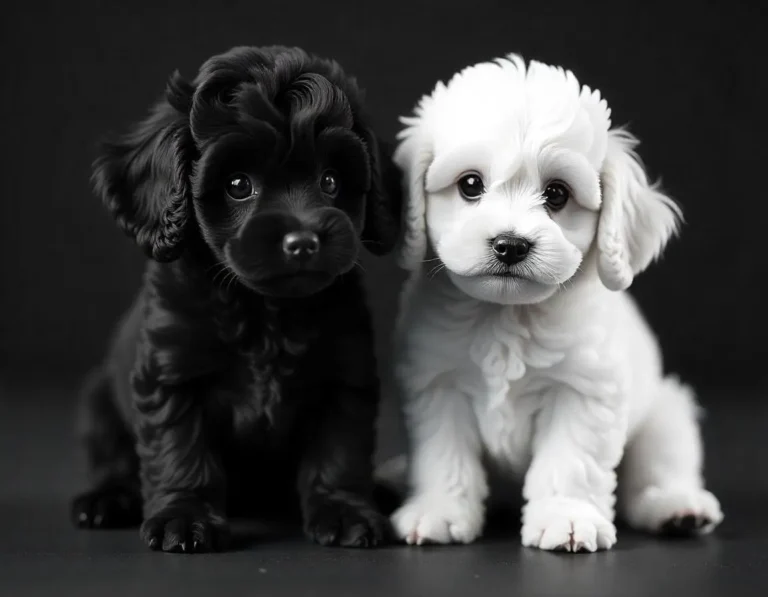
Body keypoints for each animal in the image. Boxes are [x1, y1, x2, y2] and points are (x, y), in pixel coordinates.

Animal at [72, 44, 402, 552]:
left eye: (330, 181)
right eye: (238, 184)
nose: (303, 242)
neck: (265, 311)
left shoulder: (345, 376)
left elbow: (340, 450)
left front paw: (346, 510)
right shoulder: (171, 375)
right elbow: (180, 451)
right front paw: (183, 517)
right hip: (98, 403)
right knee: (113, 460)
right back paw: (105, 499)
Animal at [388, 53, 724, 552]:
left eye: (557, 194)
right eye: (470, 185)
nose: (510, 245)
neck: (506, 315)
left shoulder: (584, 391)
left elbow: (570, 461)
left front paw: (566, 516)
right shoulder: (437, 383)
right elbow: (444, 454)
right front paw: (439, 509)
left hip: (665, 414)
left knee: (657, 467)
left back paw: (676, 507)